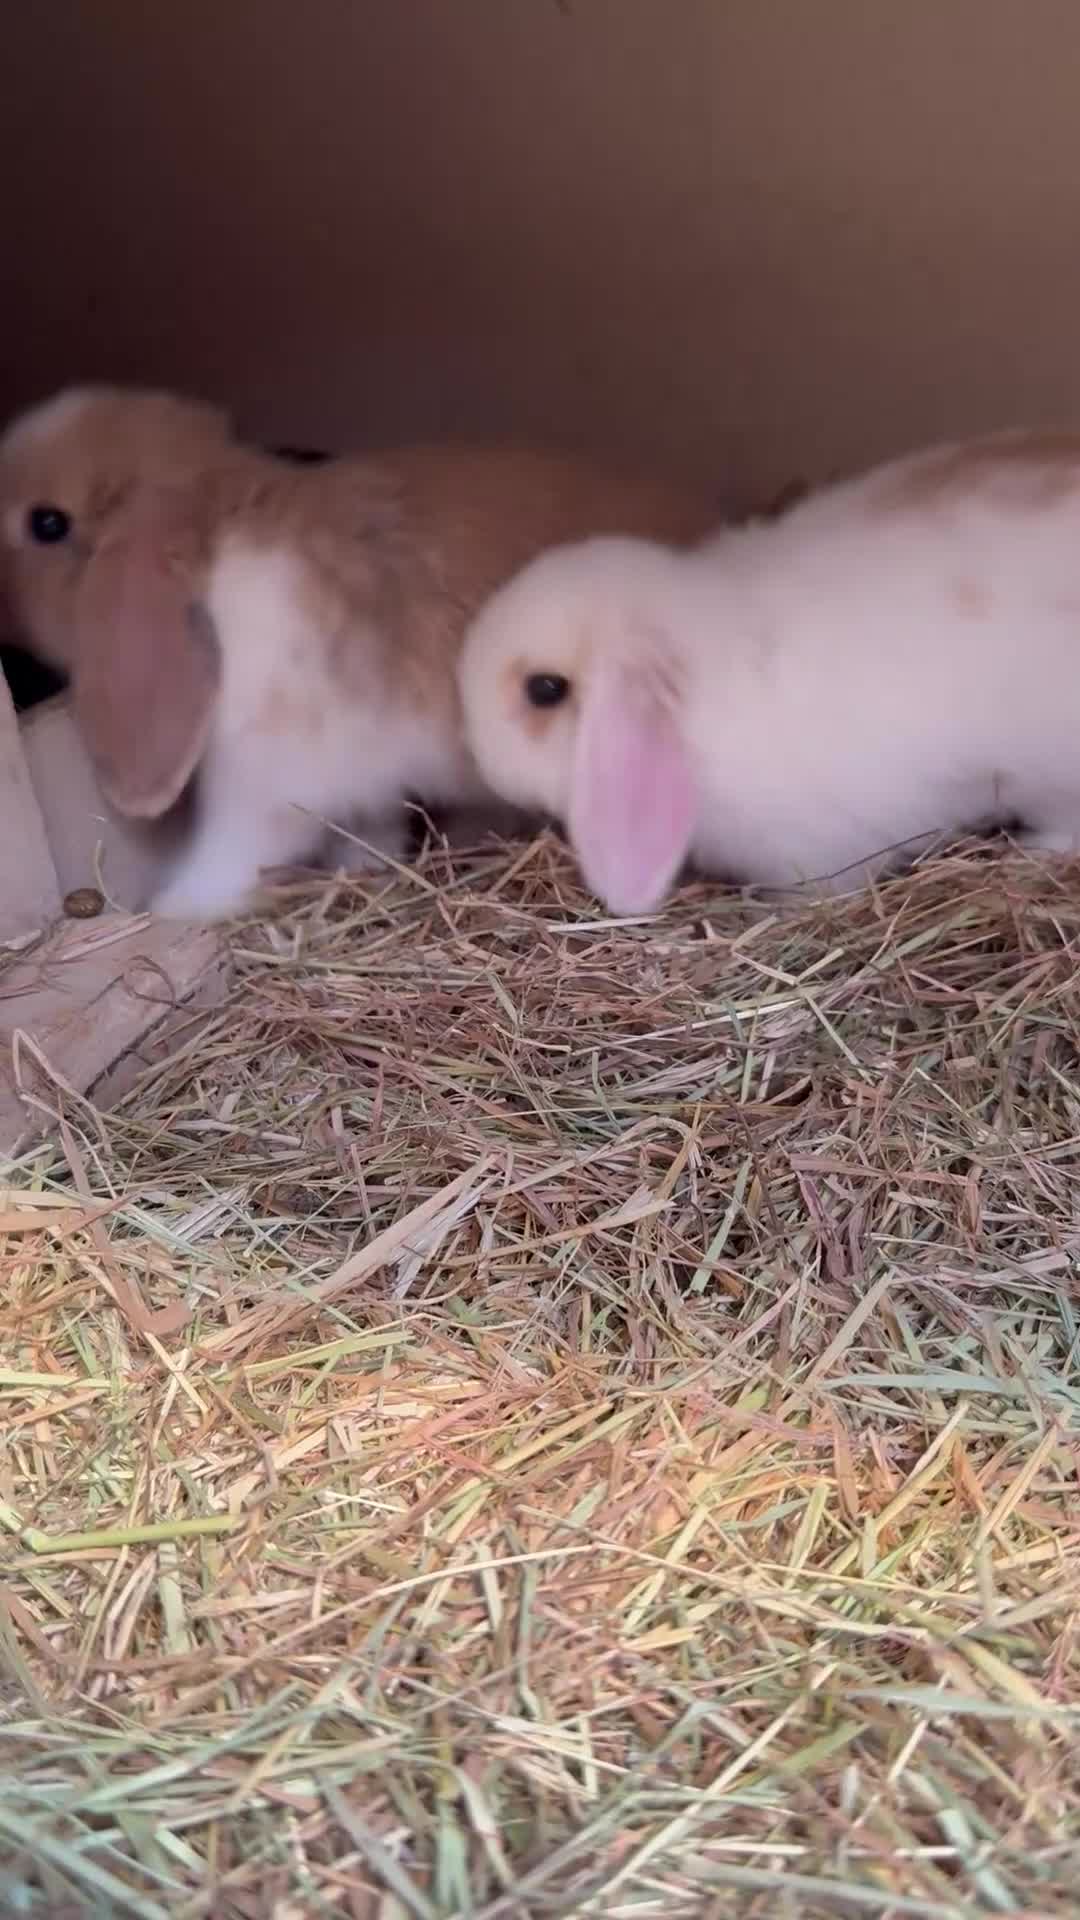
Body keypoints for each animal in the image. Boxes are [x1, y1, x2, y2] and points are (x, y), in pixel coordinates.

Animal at [0, 384, 720, 920]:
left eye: (47, 523)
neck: (217, 541)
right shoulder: (361, 780)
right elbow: (367, 831)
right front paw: (367, 869)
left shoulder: (262, 787)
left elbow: (228, 857)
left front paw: (172, 908)